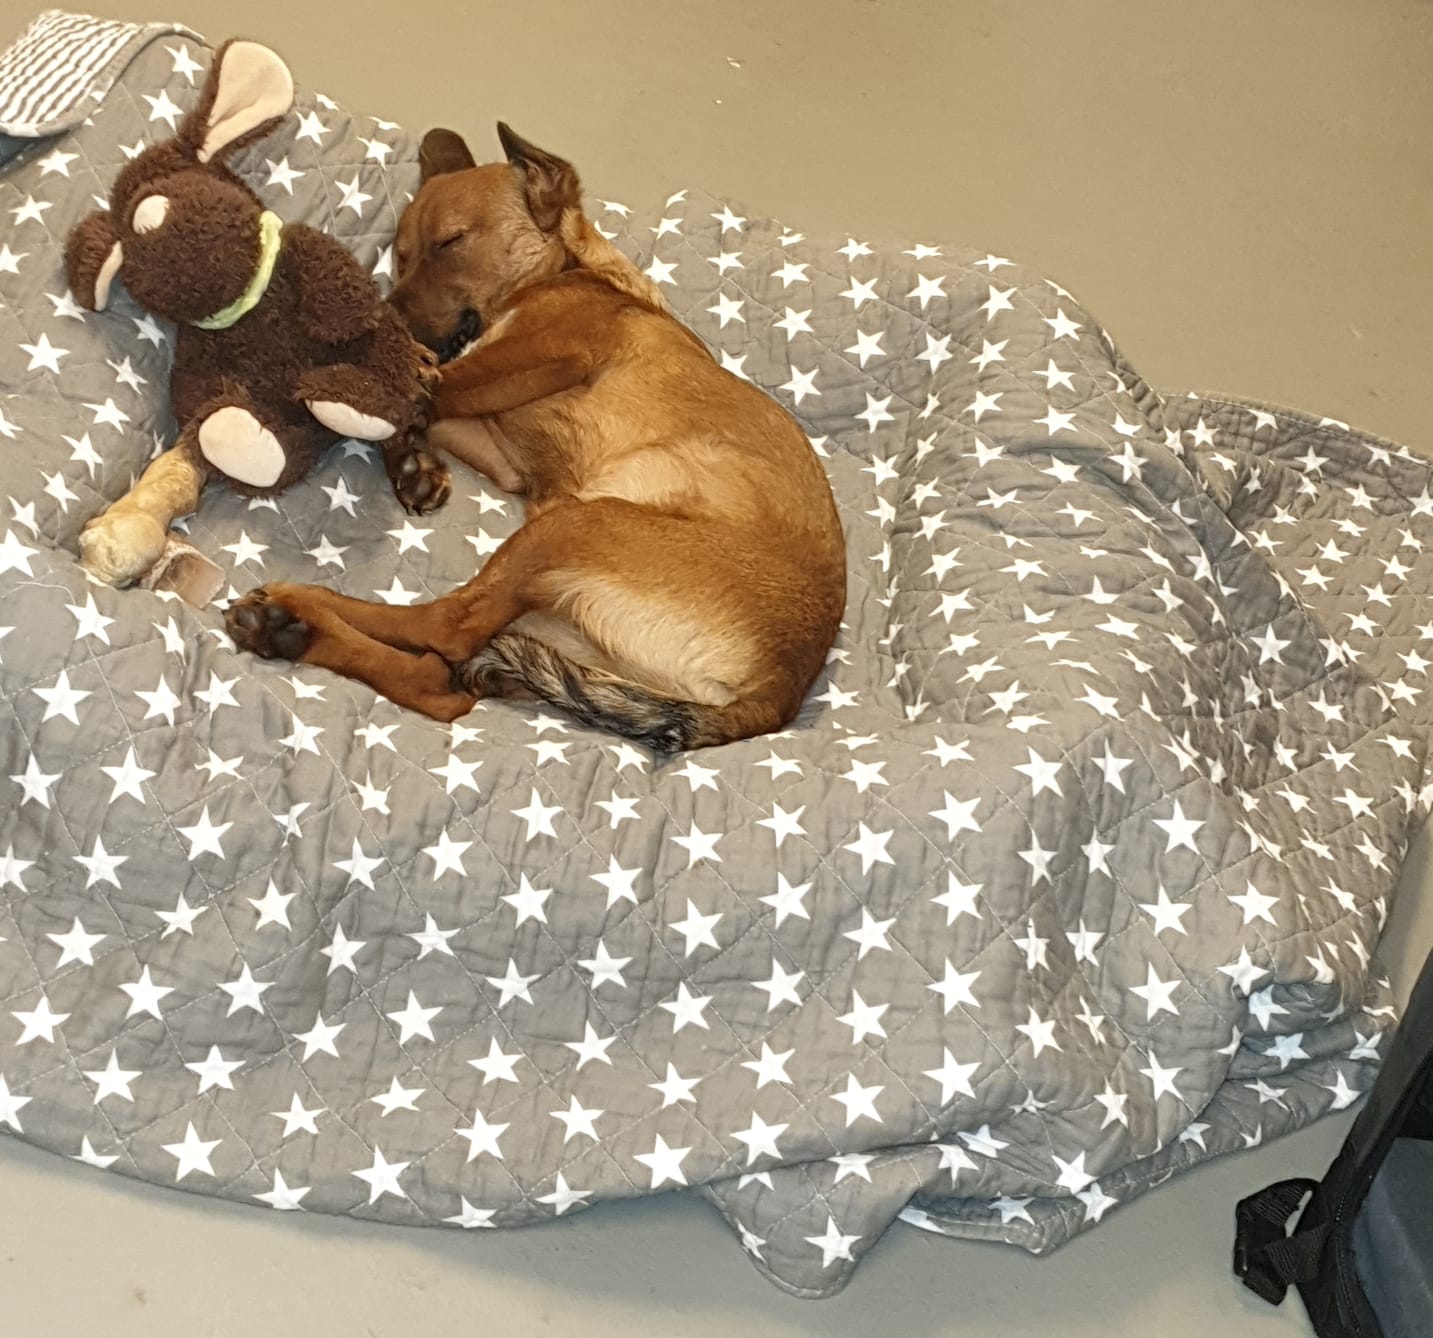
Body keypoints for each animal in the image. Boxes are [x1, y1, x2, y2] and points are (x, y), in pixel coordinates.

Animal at [226, 123, 846, 753]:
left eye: (450, 242)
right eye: (400, 255)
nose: (385, 321)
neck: (571, 271)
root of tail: (772, 699)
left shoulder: (545, 352)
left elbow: (419, 385)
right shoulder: (503, 452)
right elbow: (419, 403)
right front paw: (412, 463)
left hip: (576, 524)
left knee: (444, 629)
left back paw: (301, 608)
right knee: (438, 685)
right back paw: (287, 634)